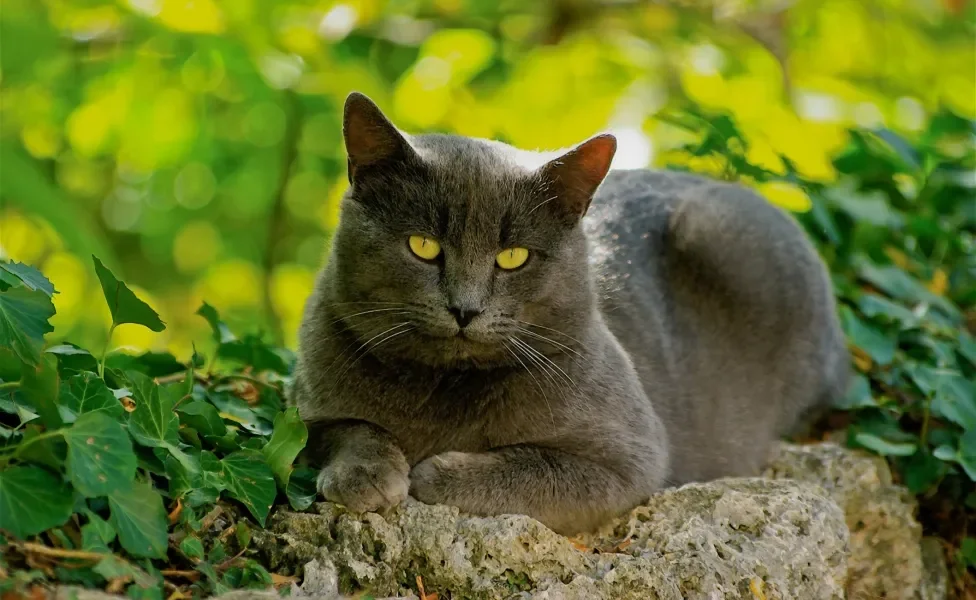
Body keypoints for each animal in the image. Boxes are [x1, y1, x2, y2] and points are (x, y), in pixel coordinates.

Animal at [290, 92, 848, 536]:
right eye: (423, 246)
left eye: (513, 256)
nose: (465, 307)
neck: (443, 387)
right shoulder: (307, 397)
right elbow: (342, 428)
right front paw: (367, 474)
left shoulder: (629, 457)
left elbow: (533, 470)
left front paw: (435, 472)